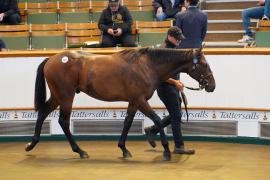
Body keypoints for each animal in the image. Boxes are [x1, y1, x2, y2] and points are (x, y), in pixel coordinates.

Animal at [25, 47, 215, 160]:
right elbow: (157, 120)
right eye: (204, 64)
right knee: (63, 121)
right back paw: (80, 151)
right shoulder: (140, 100)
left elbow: (127, 122)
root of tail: (52, 59)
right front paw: (165, 150)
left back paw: (32, 144)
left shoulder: (134, 101)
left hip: (58, 96)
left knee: (43, 113)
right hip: (65, 97)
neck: (148, 66)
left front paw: (124, 149)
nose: (212, 85)